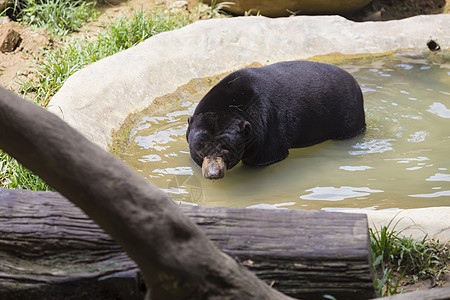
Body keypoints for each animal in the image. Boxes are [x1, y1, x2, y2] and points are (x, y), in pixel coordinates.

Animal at [186, 59, 366, 179]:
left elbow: (267, 156)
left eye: (226, 153)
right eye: (200, 153)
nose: (213, 174)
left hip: (347, 114)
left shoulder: (267, 126)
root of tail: (355, 82)